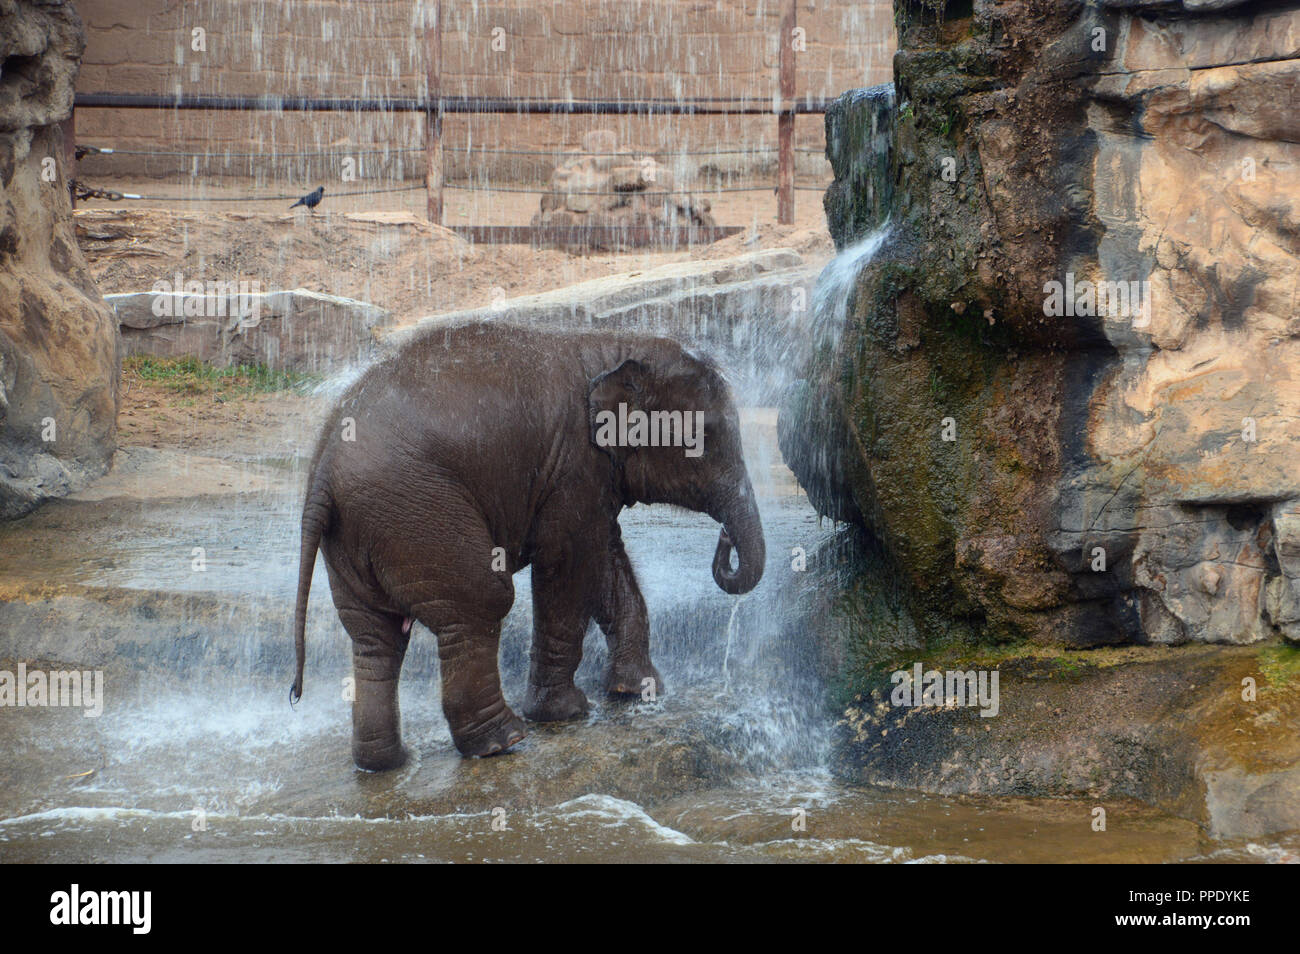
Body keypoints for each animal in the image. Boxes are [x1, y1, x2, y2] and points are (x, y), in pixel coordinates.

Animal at [289, 321, 764, 769]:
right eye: (704, 438)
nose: (725, 538)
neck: (614, 344)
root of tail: (322, 469)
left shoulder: (589, 475)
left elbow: (604, 559)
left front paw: (637, 691)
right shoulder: (573, 465)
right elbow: (570, 563)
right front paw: (565, 713)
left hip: (360, 535)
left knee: (376, 636)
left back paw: (387, 763)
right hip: (415, 512)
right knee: (482, 600)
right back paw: (503, 742)